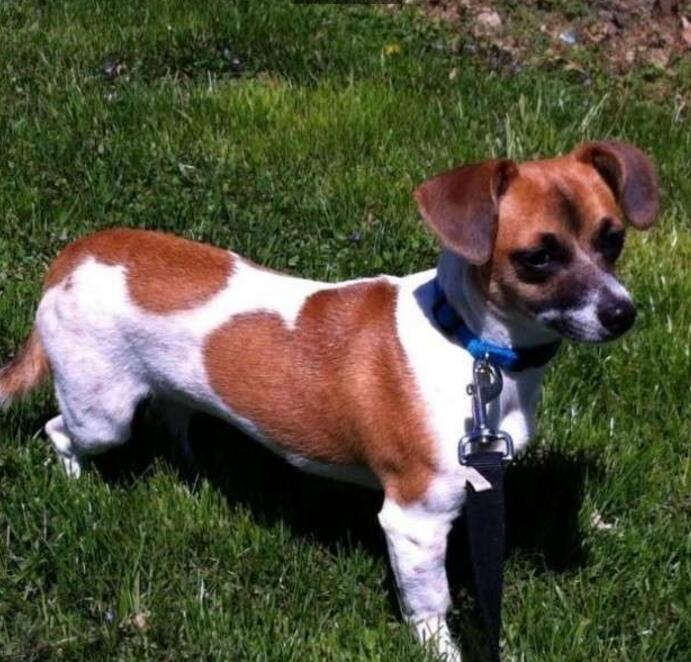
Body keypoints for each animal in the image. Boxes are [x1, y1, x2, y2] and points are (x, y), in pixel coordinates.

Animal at [0, 141, 660, 662]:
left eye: (613, 240)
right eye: (538, 257)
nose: (623, 313)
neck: (471, 345)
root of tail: (74, 256)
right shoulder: (414, 520)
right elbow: (431, 603)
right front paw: (441, 649)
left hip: (160, 390)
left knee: (174, 417)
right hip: (101, 412)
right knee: (61, 433)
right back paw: (77, 485)